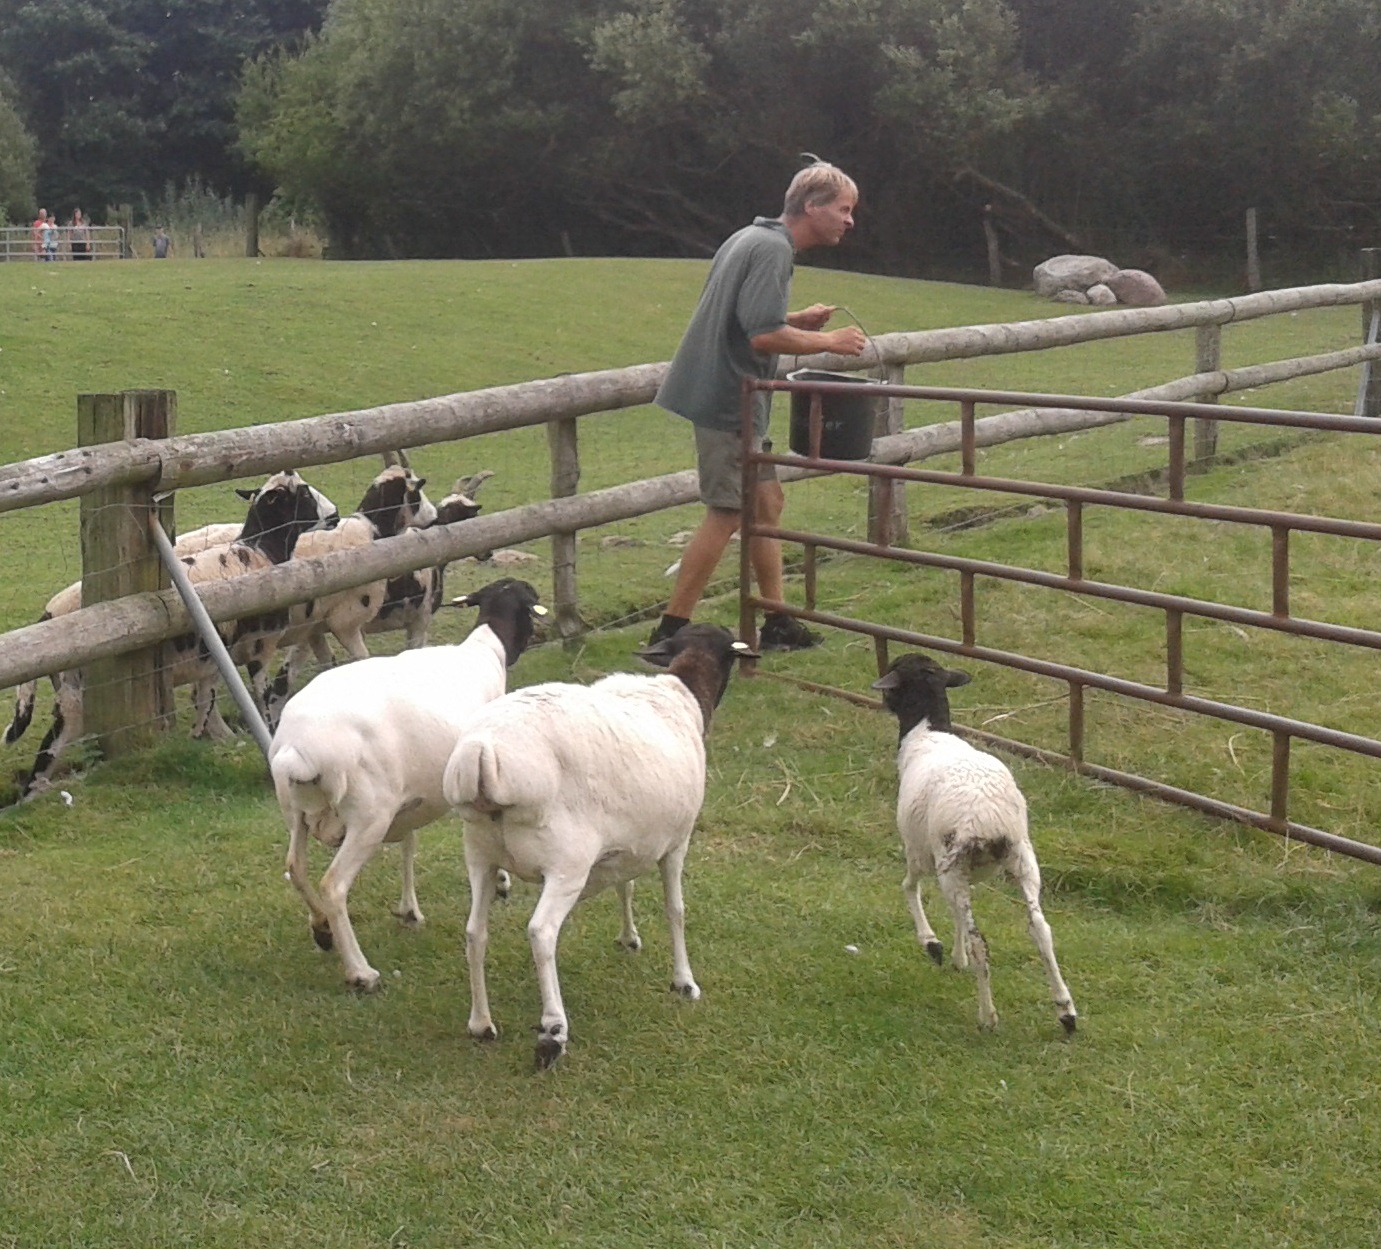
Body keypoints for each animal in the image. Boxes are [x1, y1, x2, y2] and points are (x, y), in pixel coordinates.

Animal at [269, 578, 546, 991]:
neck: (484, 652)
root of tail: (297, 748)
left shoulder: (410, 798)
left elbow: (409, 845)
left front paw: (409, 910)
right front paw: (500, 880)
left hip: (298, 812)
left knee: (296, 868)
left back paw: (322, 930)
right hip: (368, 816)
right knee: (333, 886)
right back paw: (361, 972)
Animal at [443, 622, 755, 1068]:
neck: (683, 692)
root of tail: (482, 752)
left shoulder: (629, 842)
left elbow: (626, 885)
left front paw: (629, 938)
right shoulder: (677, 842)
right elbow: (676, 910)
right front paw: (684, 982)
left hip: (480, 855)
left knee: (474, 932)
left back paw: (481, 1023)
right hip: (565, 863)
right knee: (541, 932)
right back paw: (553, 1032)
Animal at [872, 652, 1077, 1035]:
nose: (882, 699)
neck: (928, 731)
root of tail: (990, 820)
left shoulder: (919, 851)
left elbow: (909, 887)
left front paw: (933, 944)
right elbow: (954, 914)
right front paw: (956, 956)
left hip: (952, 863)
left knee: (981, 941)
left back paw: (987, 1016)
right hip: (1023, 860)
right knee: (1041, 929)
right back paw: (1066, 1011)